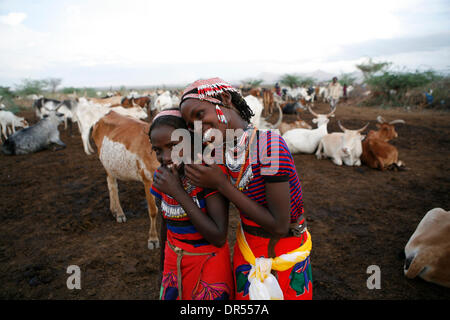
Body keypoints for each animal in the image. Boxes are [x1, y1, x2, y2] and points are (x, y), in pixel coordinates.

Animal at [91, 112, 160, 250]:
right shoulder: (148, 179)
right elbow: (153, 211)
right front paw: (153, 239)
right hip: (107, 164)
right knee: (112, 185)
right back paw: (119, 214)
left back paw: (114, 210)